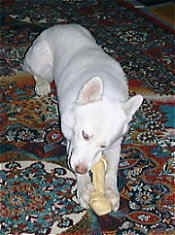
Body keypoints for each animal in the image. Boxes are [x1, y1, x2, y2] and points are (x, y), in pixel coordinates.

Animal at [23, 24, 143, 211]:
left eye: (103, 145)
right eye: (85, 135)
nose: (80, 169)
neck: (108, 93)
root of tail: (60, 26)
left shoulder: (115, 145)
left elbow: (113, 168)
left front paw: (111, 192)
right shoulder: (71, 140)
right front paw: (85, 187)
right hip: (42, 62)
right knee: (34, 71)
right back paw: (42, 84)